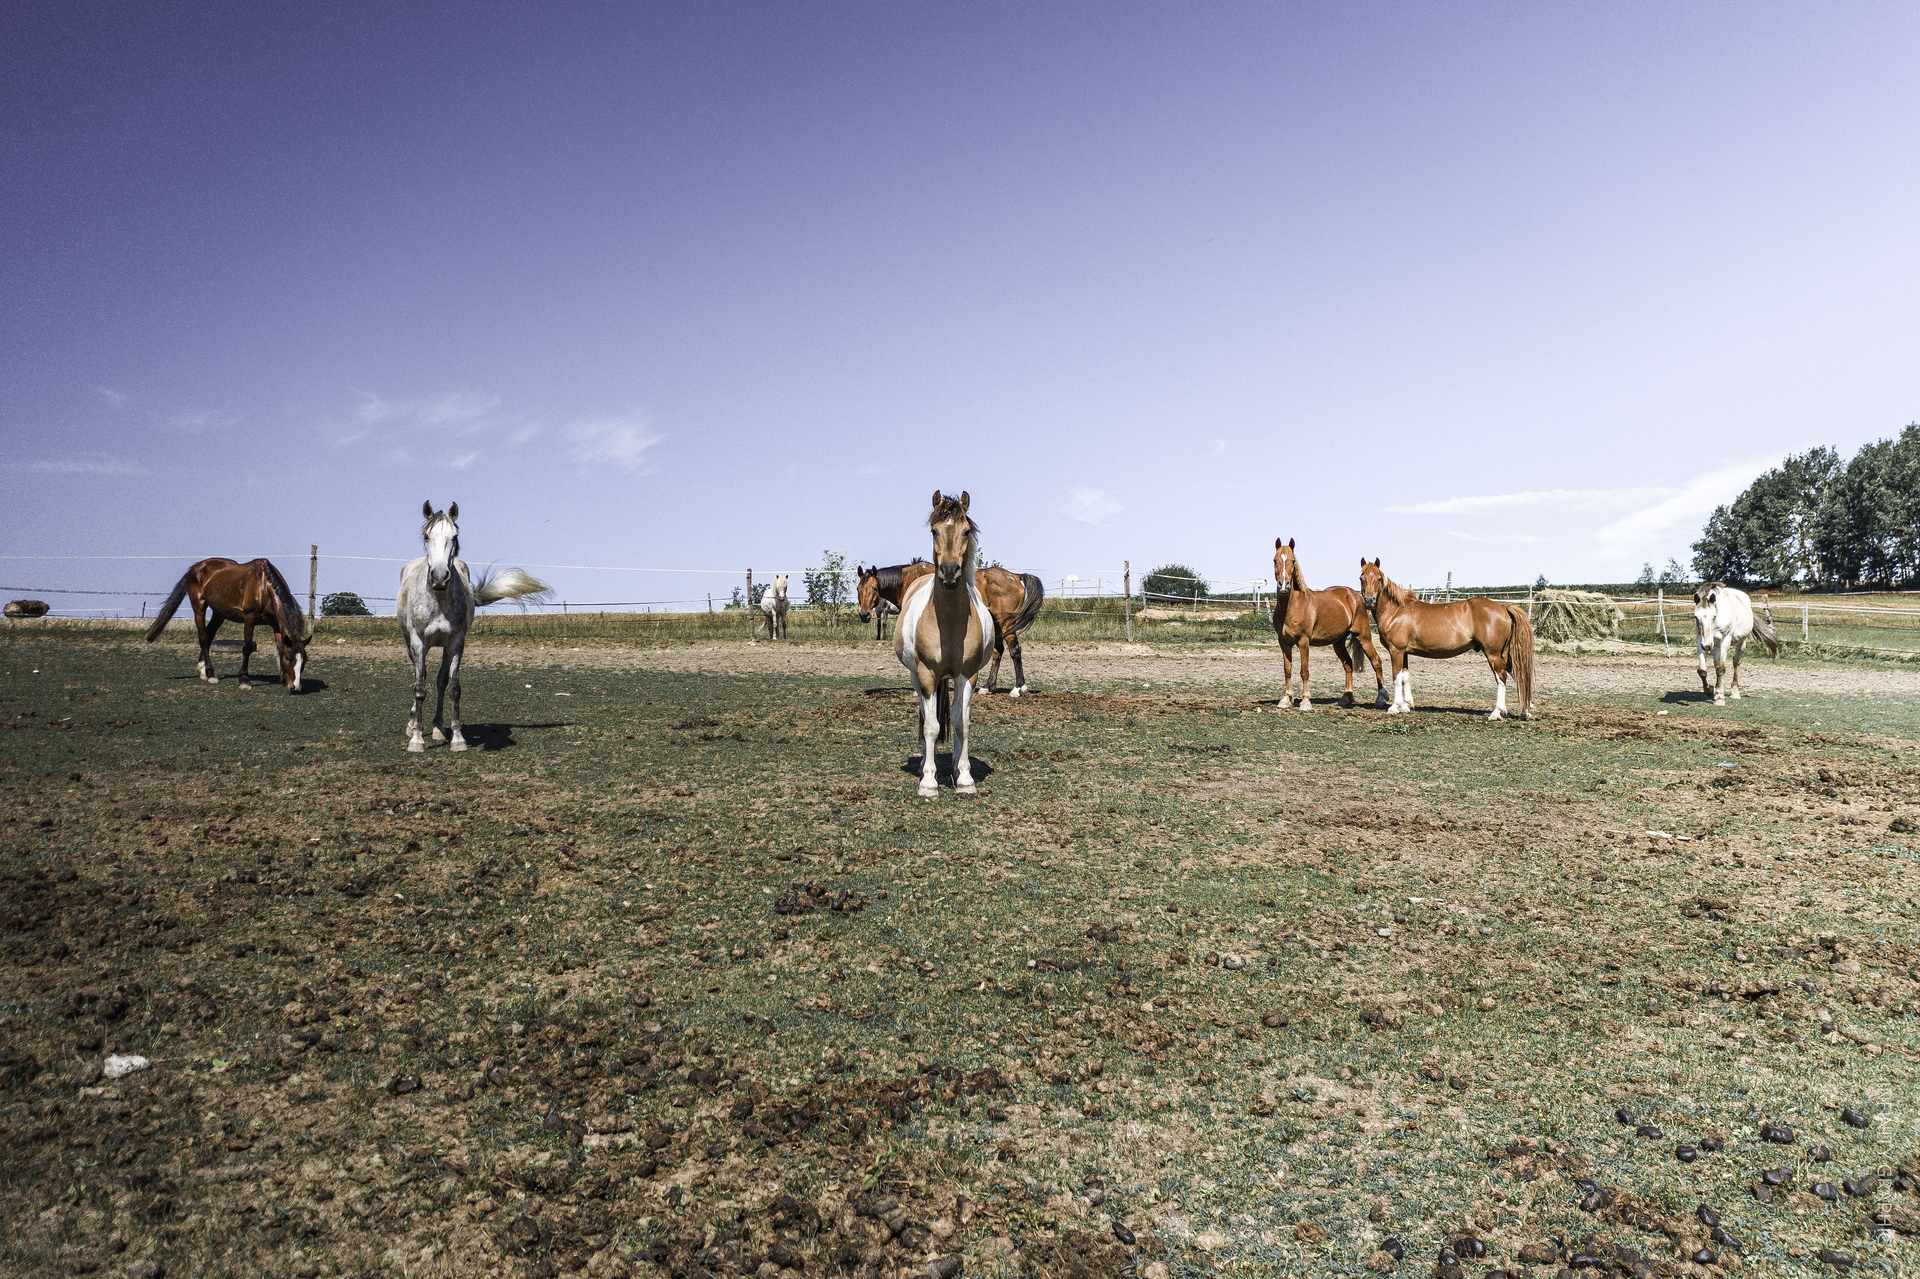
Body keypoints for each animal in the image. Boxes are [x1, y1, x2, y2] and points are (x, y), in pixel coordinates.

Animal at [144, 556, 312, 691]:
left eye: (304, 661)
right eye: (289, 659)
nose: (296, 687)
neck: (263, 587)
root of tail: (195, 567)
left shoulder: (275, 624)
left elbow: (279, 647)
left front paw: (283, 678)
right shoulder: (249, 618)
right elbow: (247, 648)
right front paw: (244, 680)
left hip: (219, 613)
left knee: (209, 635)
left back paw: (203, 671)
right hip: (199, 607)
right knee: (203, 637)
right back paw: (211, 674)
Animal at [864, 560, 1044, 699]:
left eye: (874, 589)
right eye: (860, 589)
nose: (864, 614)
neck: (911, 580)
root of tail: (1015, 576)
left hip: (1006, 623)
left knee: (1015, 651)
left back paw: (1018, 688)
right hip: (997, 625)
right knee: (998, 652)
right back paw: (988, 687)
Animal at [894, 489, 998, 798]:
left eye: (966, 531)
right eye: (934, 530)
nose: (950, 572)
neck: (949, 622)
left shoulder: (967, 675)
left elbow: (961, 723)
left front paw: (964, 777)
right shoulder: (927, 674)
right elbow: (931, 726)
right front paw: (928, 782)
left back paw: (953, 765)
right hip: (917, 676)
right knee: (924, 715)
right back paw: (924, 766)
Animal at [1274, 530, 1382, 706]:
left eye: (1292, 560)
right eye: (1275, 560)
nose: (1284, 586)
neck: (1292, 607)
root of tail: (1357, 596)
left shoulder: (1303, 641)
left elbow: (1304, 671)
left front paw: (1305, 701)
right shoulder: (1284, 642)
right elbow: (1287, 670)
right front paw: (1286, 699)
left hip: (1364, 637)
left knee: (1376, 661)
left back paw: (1380, 699)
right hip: (1338, 642)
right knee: (1348, 664)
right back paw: (1346, 697)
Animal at [1359, 556, 1536, 718]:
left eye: (1379, 578)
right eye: (1362, 578)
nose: (1369, 601)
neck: (1396, 611)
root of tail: (1503, 607)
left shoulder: (1396, 650)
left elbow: (1396, 677)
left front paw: (1395, 707)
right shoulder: (1405, 653)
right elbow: (1405, 677)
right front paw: (1405, 706)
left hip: (1493, 654)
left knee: (1501, 677)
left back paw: (1496, 712)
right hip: (1504, 654)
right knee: (1515, 676)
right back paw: (1518, 711)